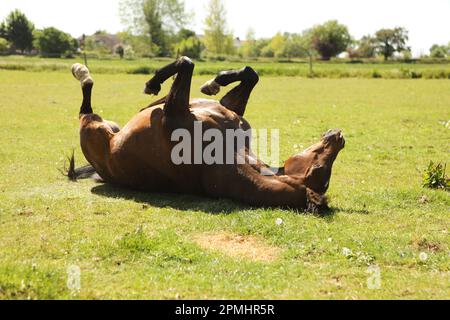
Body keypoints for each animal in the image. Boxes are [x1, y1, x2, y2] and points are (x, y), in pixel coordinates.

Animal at [69, 57, 344, 212]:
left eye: (319, 168)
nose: (339, 136)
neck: (231, 156)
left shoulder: (173, 112)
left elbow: (186, 62)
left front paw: (153, 83)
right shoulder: (230, 107)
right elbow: (250, 74)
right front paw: (215, 81)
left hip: (93, 129)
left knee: (85, 108)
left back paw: (81, 71)